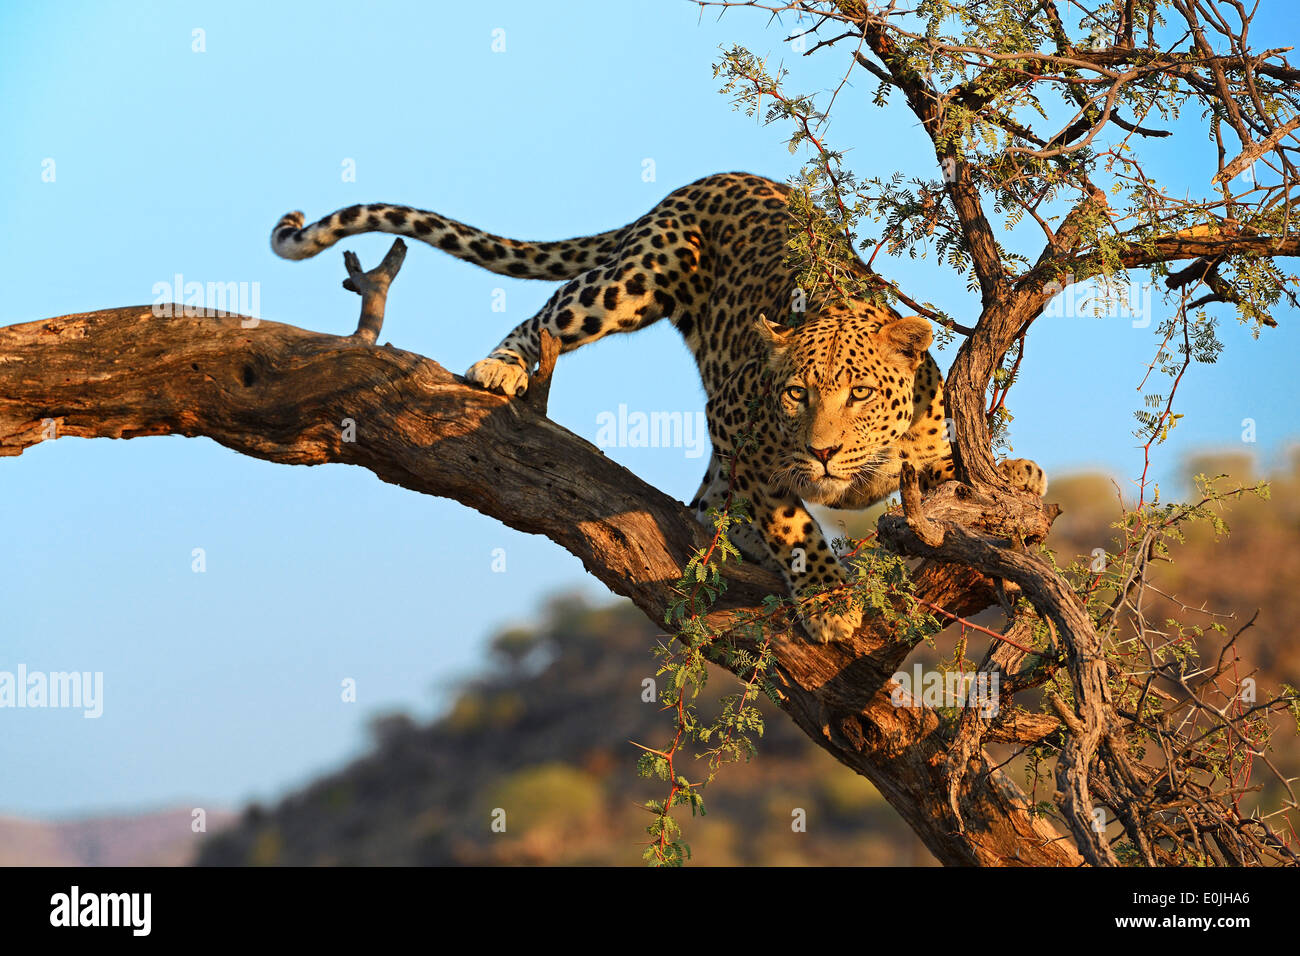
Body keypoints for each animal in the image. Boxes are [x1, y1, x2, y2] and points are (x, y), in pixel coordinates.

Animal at [271, 171, 1045, 642]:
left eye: (859, 393)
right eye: (795, 393)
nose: (822, 451)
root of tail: (708, 179)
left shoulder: (923, 455)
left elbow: (952, 483)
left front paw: (1017, 481)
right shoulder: (736, 421)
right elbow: (791, 519)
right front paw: (826, 597)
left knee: (703, 505)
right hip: (639, 275)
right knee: (553, 311)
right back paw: (500, 366)